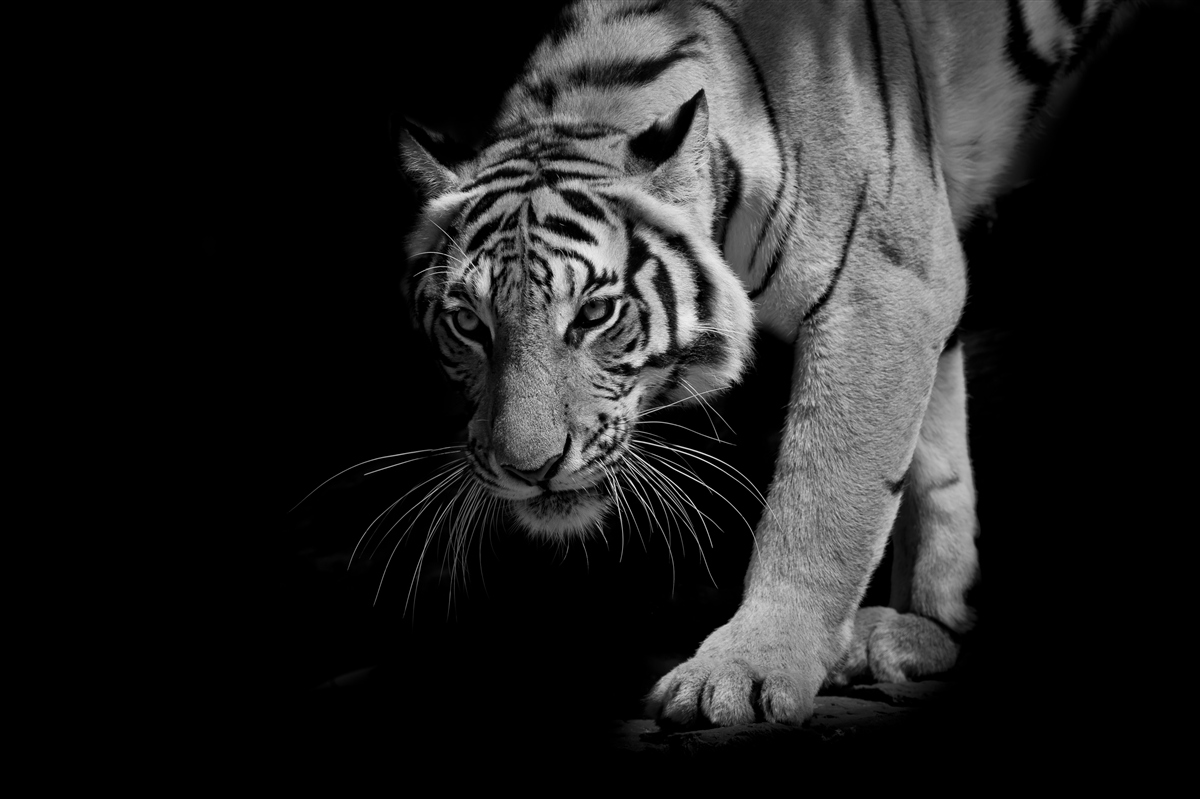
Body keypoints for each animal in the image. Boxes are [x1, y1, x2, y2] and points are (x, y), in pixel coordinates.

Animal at [397, 0, 1139, 727]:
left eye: (594, 314)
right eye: (469, 324)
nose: (529, 470)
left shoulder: (883, 284)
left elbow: (824, 502)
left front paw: (749, 667)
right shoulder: (924, 278)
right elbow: (936, 461)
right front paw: (925, 625)